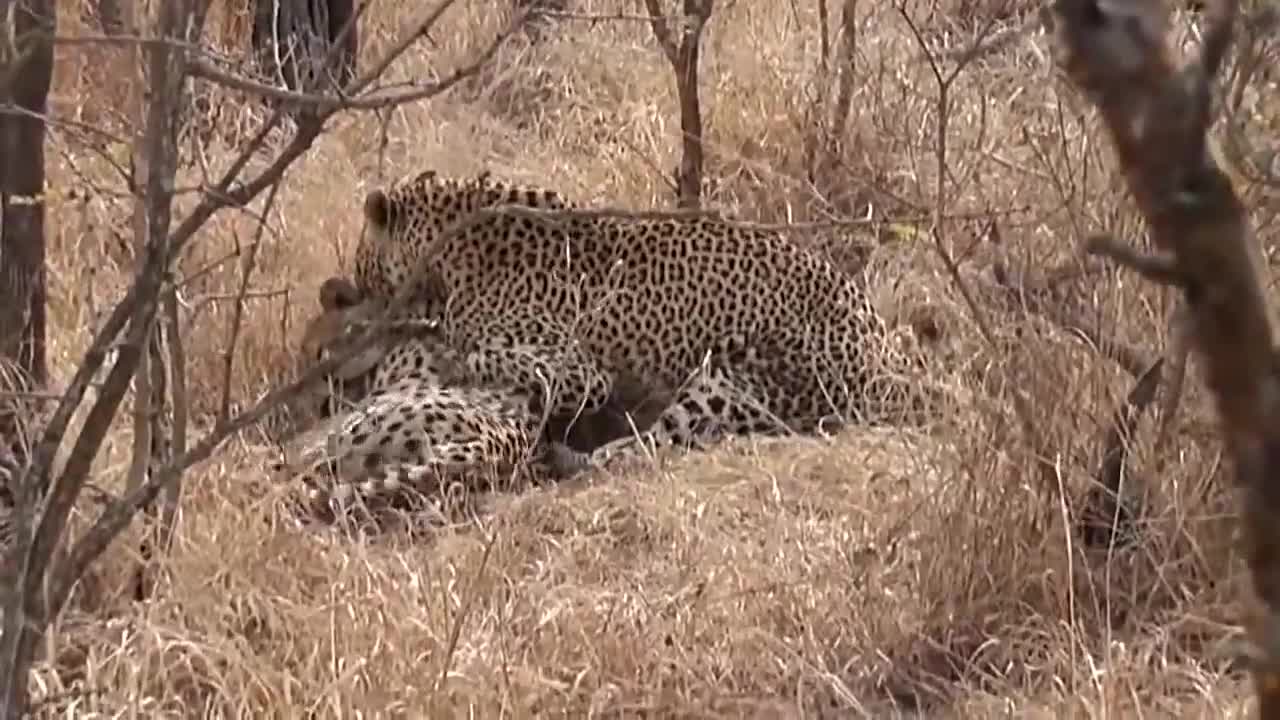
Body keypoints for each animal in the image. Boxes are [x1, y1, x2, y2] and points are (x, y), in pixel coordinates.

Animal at [350, 166, 942, 453]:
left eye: (360, 262)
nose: (351, 290)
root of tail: (883, 352)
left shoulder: (578, 372)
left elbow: (475, 353)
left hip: (725, 381)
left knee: (655, 447)